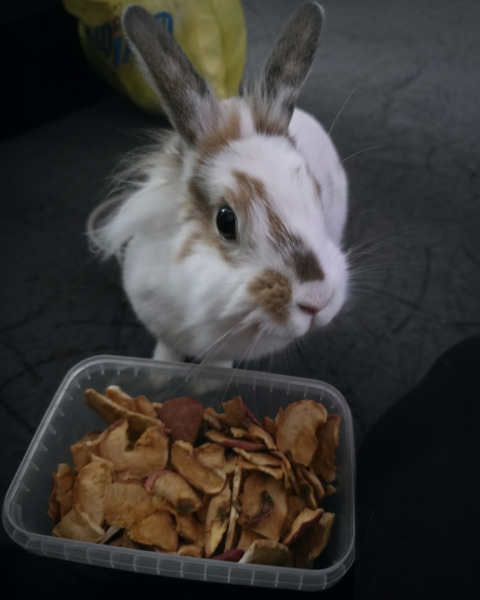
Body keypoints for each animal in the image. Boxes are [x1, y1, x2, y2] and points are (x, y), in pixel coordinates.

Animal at [87, 2, 349, 368]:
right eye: (226, 221)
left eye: (316, 195)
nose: (318, 299)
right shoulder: (162, 325)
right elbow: (165, 352)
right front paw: (158, 371)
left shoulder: (224, 352)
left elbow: (218, 369)